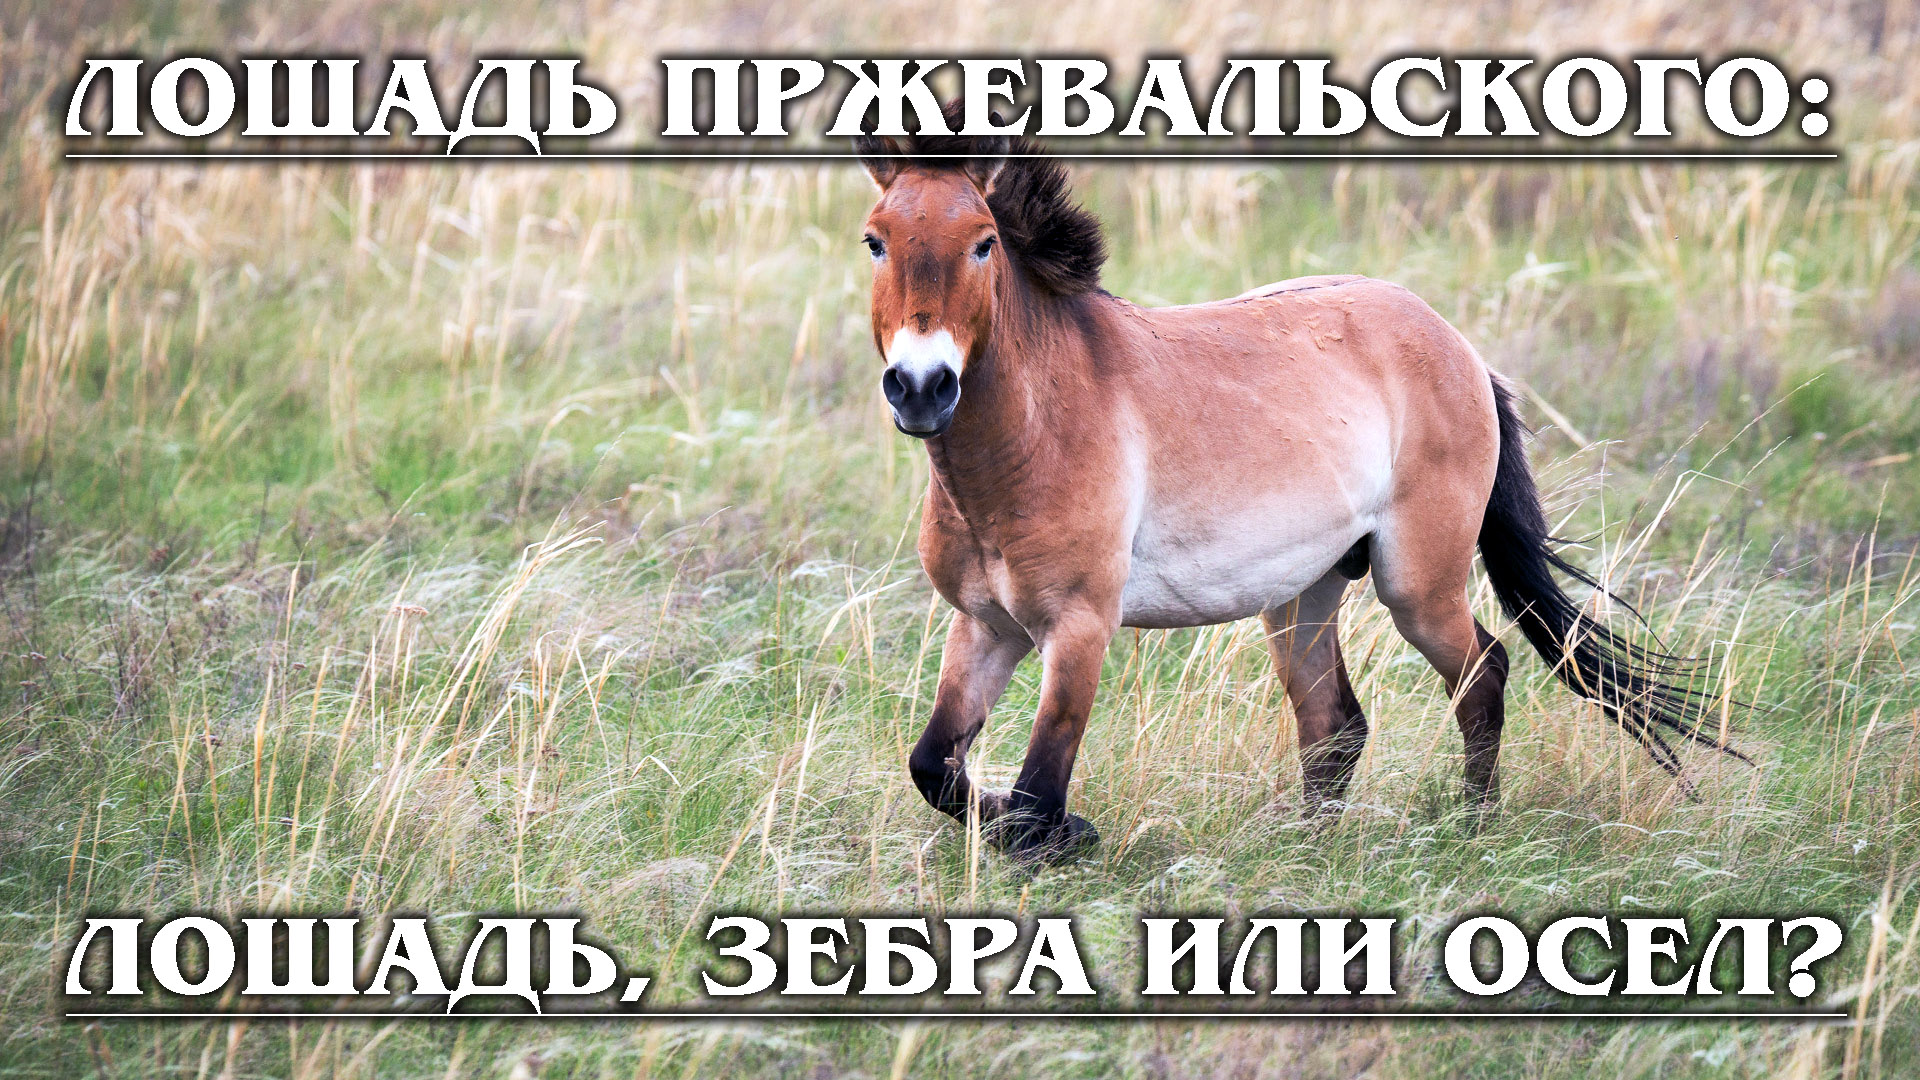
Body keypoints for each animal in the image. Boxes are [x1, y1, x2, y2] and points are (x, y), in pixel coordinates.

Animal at [855, 107, 1739, 859]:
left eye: (982, 243)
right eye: (874, 241)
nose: (922, 387)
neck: (1028, 440)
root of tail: (1460, 348)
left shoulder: (1078, 629)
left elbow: (1039, 792)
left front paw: (1066, 834)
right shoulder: (985, 625)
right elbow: (935, 767)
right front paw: (1043, 825)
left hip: (1416, 586)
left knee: (1481, 675)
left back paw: (1473, 826)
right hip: (1303, 594)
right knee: (1334, 722)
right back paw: (1310, 848)